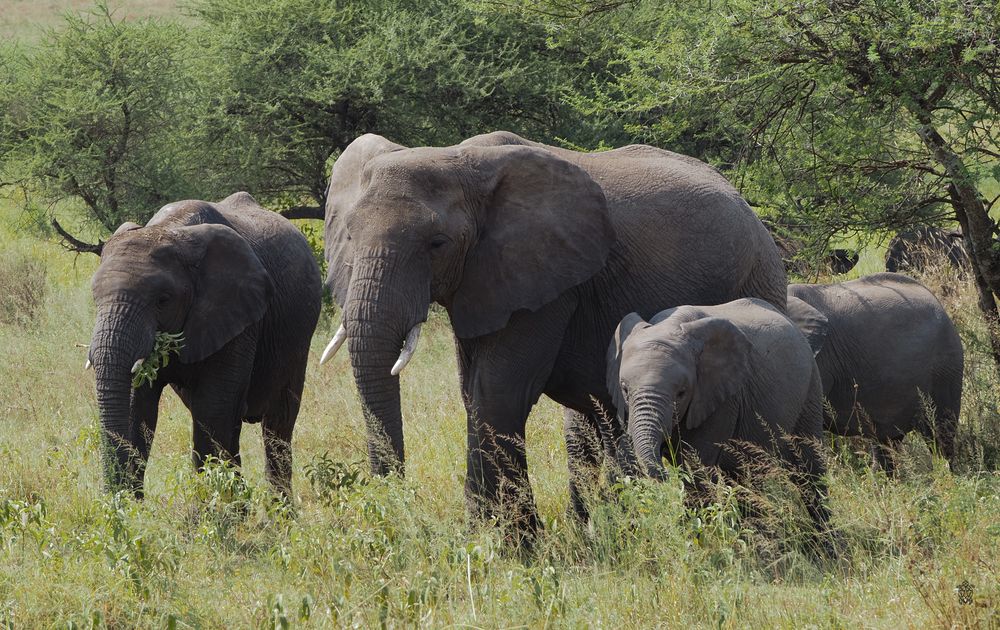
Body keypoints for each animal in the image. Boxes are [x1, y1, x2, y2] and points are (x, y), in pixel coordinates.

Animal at [87, 192, 322, 496]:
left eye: (163, 300)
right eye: (95, 297)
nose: (114, 498)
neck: (171, 230)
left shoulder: (239, 314)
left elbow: (211, 410)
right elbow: (136, 408)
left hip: (298, 338)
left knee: (276, 424)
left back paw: (277, 508)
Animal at [319, 130, 787, 539]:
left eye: (437, 243)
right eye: (348, 235)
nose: (396, 513)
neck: (456, 158)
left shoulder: (546, 282)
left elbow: (498, 389)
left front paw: (507, 544)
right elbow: (472, 391)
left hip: (758, 276)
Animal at [606, 299, 830, 530]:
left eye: (681, 393)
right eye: (624, 389)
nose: (665, 476)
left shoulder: (722, 400)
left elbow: (696, 471)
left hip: (810, 389)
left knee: (808, 468)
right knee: (746, 476)